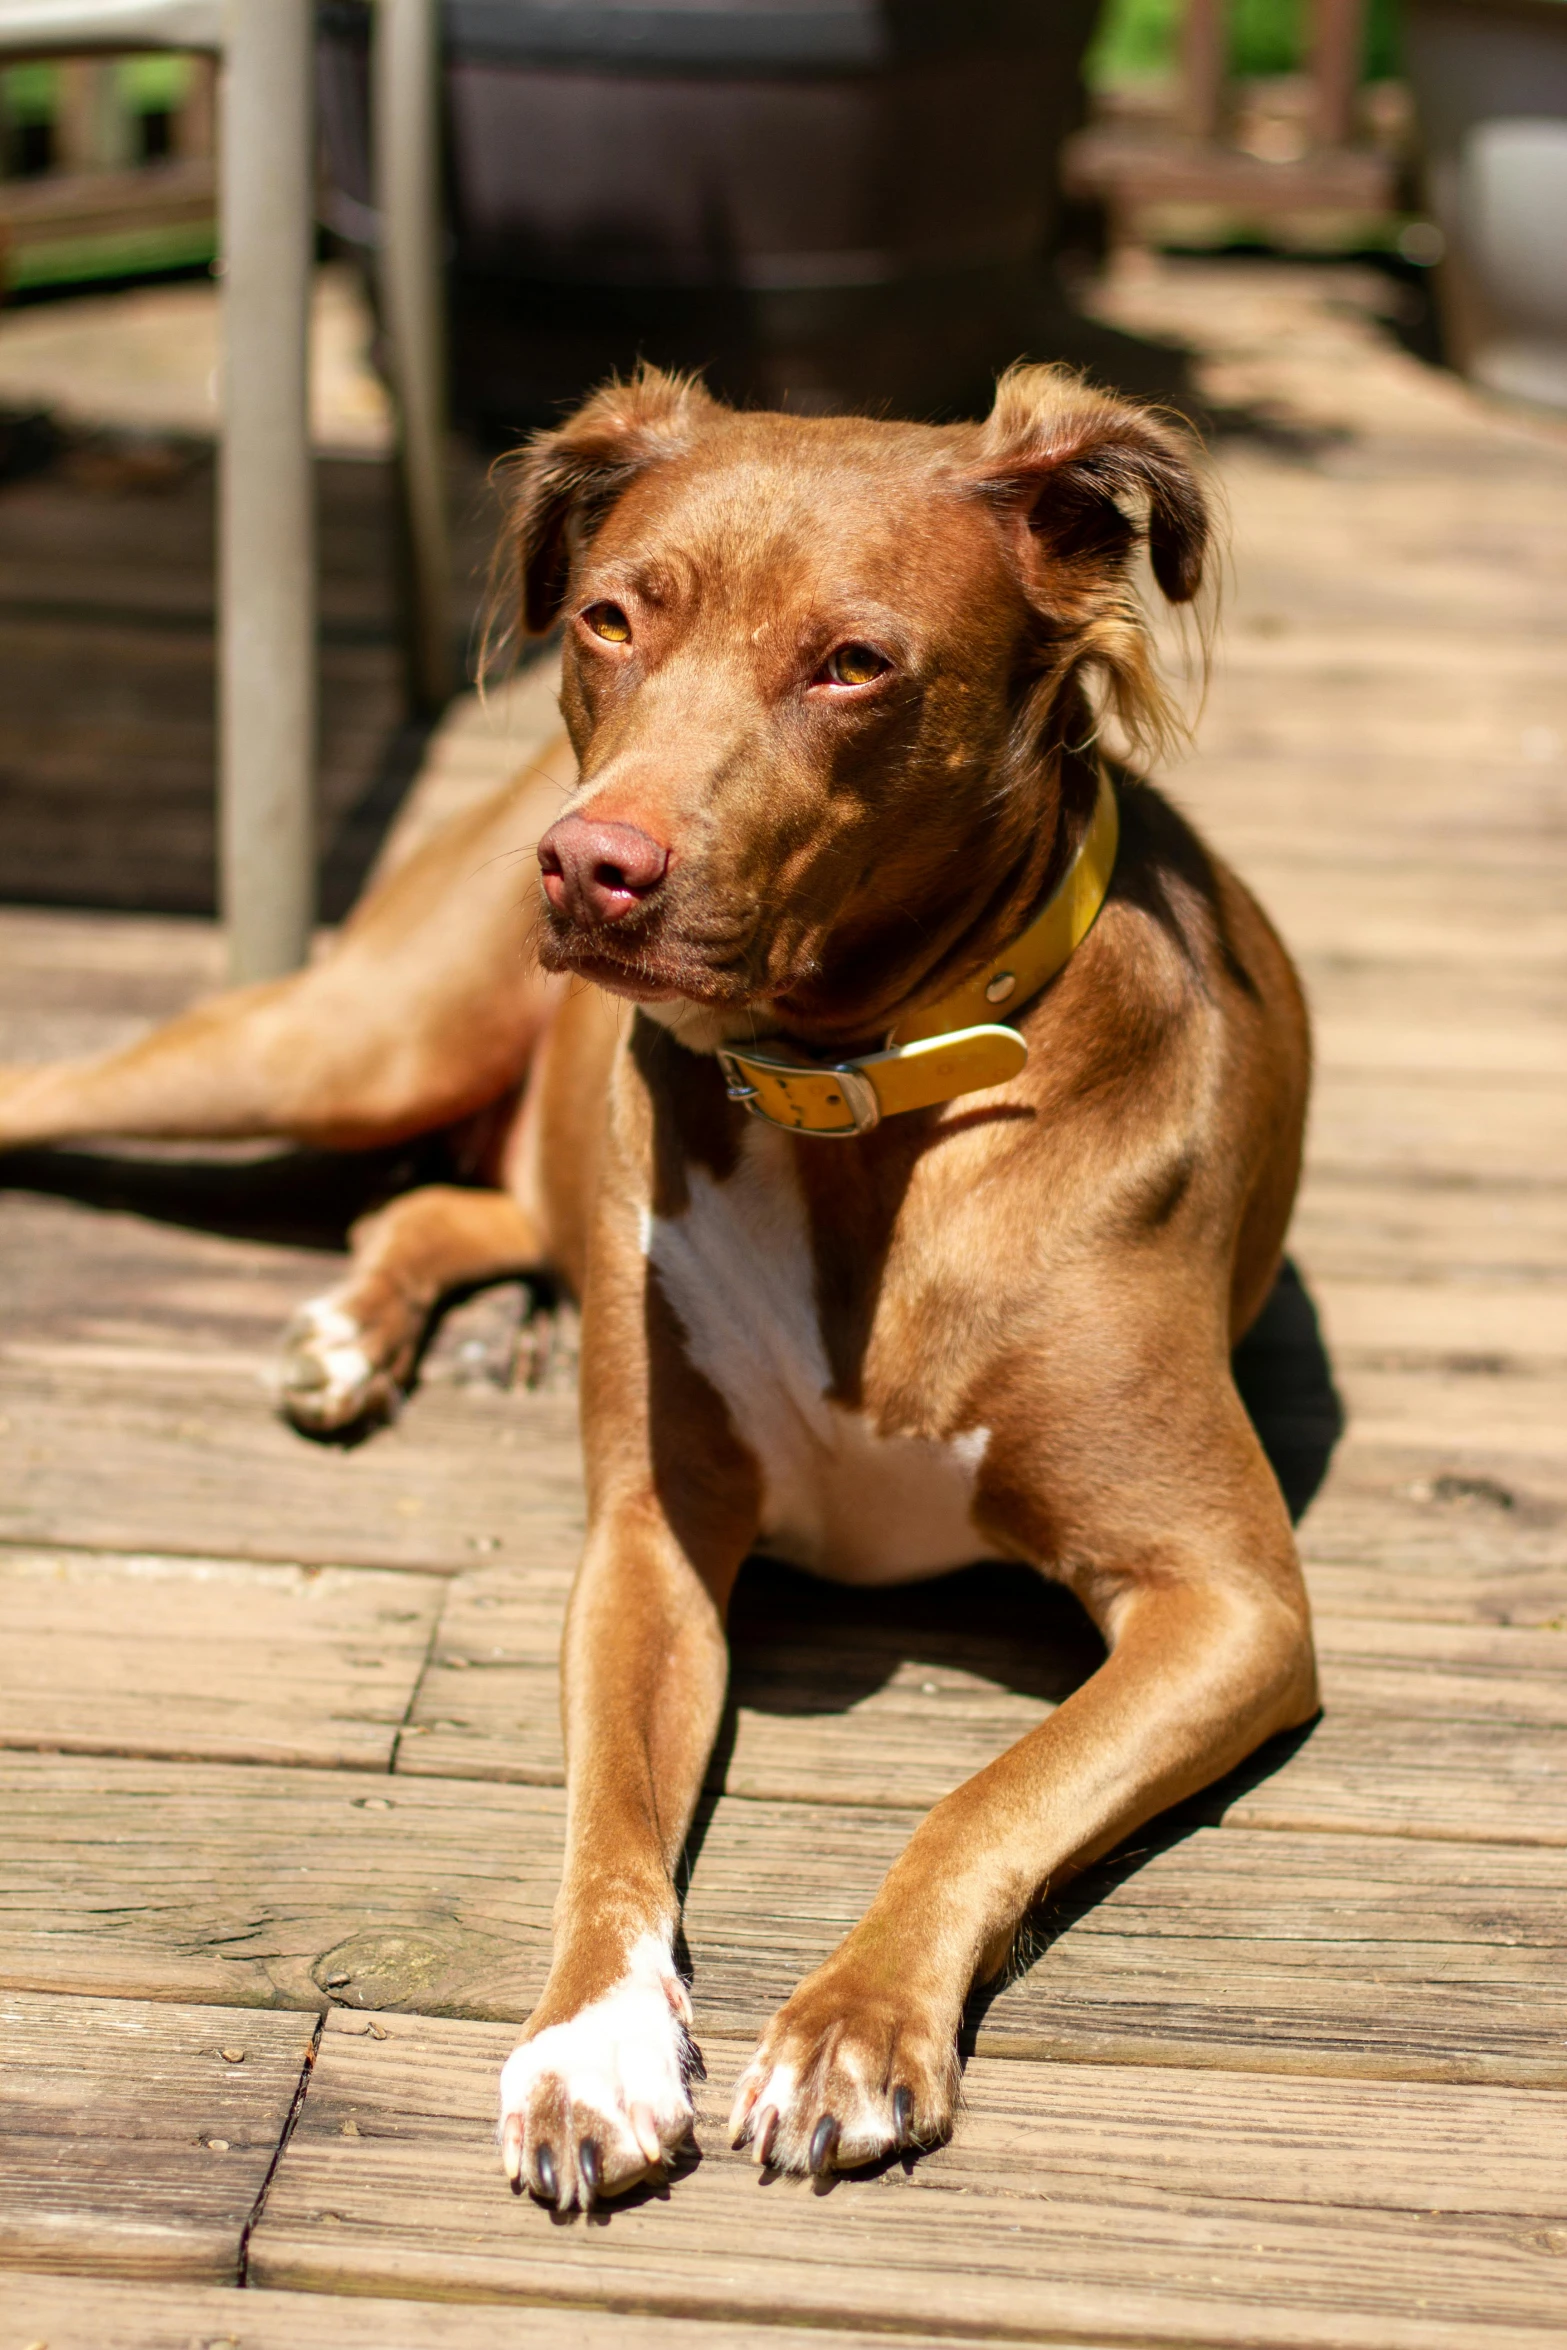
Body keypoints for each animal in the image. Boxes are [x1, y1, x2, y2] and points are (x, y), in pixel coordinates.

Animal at [0, 371, 1315, 2218]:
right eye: (611, 622)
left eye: (854, 662)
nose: (585, 864)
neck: (857, 1102)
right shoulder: (650, 1540)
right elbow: (611, 1822)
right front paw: (590, 2042)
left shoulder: (1227, 1601)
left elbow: (986, 1789)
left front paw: (852, 2021)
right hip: (343, 1042)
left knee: (446, 1198)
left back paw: (383, 1328)